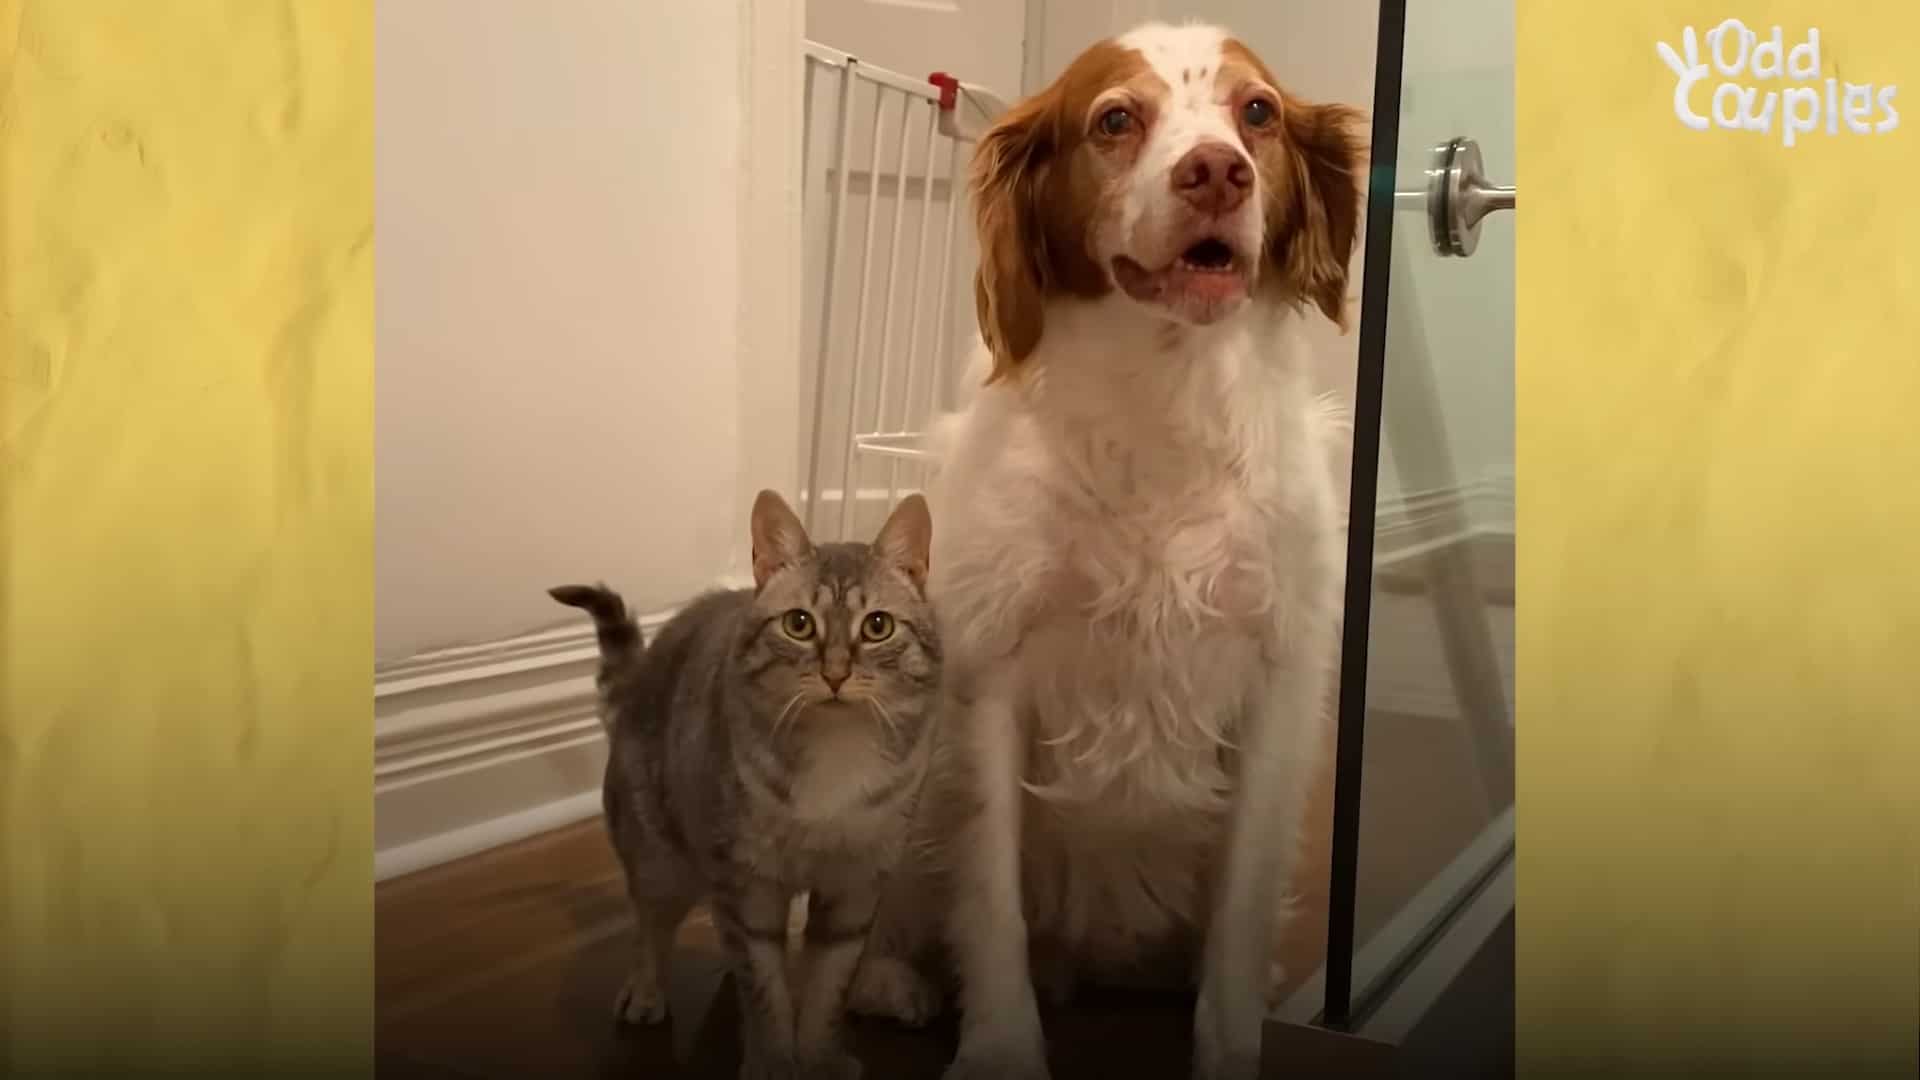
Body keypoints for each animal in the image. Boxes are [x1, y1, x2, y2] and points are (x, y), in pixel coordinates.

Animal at [552, 490, 940, 1076]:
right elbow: (766, 989)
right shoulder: (749, 883)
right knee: (651, 926)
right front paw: (774, 1060)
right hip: (660, 856)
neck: (836, 757)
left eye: (878, 626)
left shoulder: (855, 889)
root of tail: (640, 673)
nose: (835, 673)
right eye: (799, 623)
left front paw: (819, 1059)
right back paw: (646, 990)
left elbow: (825, 990)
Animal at [852, 18, 1367, 1076]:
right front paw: (1000, 1048)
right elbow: (989, 902)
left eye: (1258, 112)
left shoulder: (1276, 687)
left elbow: (1241, 922)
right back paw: (890, 979)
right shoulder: (990, 676)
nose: (1217, 172)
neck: (1163, 397)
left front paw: (1229, 1050)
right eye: (1116, 120)